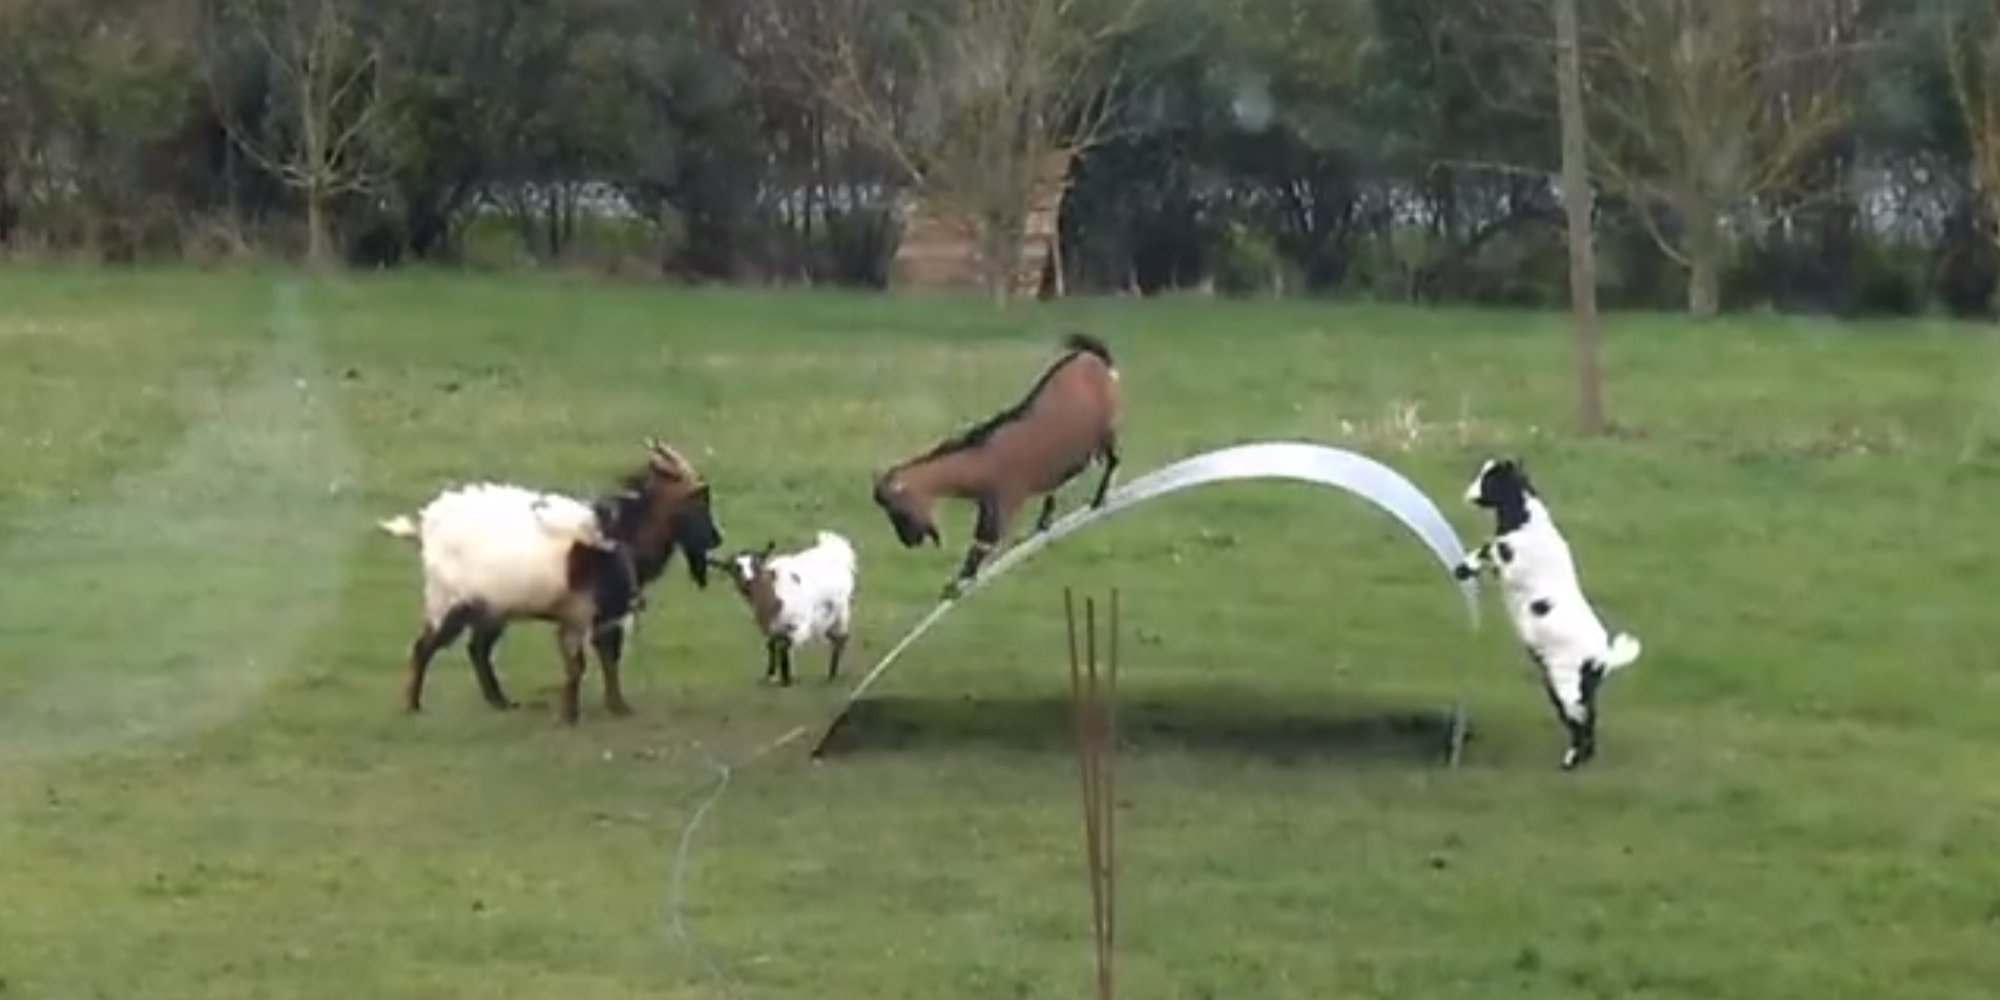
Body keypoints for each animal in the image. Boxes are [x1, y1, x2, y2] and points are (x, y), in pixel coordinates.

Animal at [378, 438, 723, 724]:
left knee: (477, 649)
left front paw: (619, 708)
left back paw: (500, 702)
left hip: (492, 607)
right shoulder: (577, 614)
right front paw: (568, 717)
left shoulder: (607, 616)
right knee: (425, 647)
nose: (716, 539)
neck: (618, 536)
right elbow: (577, 665)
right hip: (450, 601)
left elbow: (610, 660)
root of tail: (427, 524)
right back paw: (412, 705)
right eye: (698, 496)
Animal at [715, 530, 858, 687]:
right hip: (823, 618)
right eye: (735, 568)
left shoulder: (801, 625)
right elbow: (772, 646)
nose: (748, 581)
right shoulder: (772, 629)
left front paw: (786, 678)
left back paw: (832, 674)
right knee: (832, 637)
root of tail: (835, 548)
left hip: (841, 609)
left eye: (757, 563)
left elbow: (784, 647)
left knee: (841, 638)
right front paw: (772, 675)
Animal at [872, 331, 1123, 598]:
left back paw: (1099, 498)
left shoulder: (1005, 500)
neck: (981, 460)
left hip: (1107, 430)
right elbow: (981, 540)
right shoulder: (987, 504)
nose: (909, 541)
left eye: (899, 509)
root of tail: (1094, 358)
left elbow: (984, 543)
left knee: (1113, 459)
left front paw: (958, 583)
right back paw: (1048, 518)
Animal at [1453, 457, 1642, 770]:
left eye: (1489, 478)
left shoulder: (1510, 561)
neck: (1527, 523)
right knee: (1587, 716)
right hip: (1569, 686)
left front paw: (1463, 568)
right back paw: (1580, 759)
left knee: (1582, 720)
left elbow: (1489, 547)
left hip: (1568, 685)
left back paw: (1571, 760)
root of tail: (1603, 659)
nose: (1467, 494)